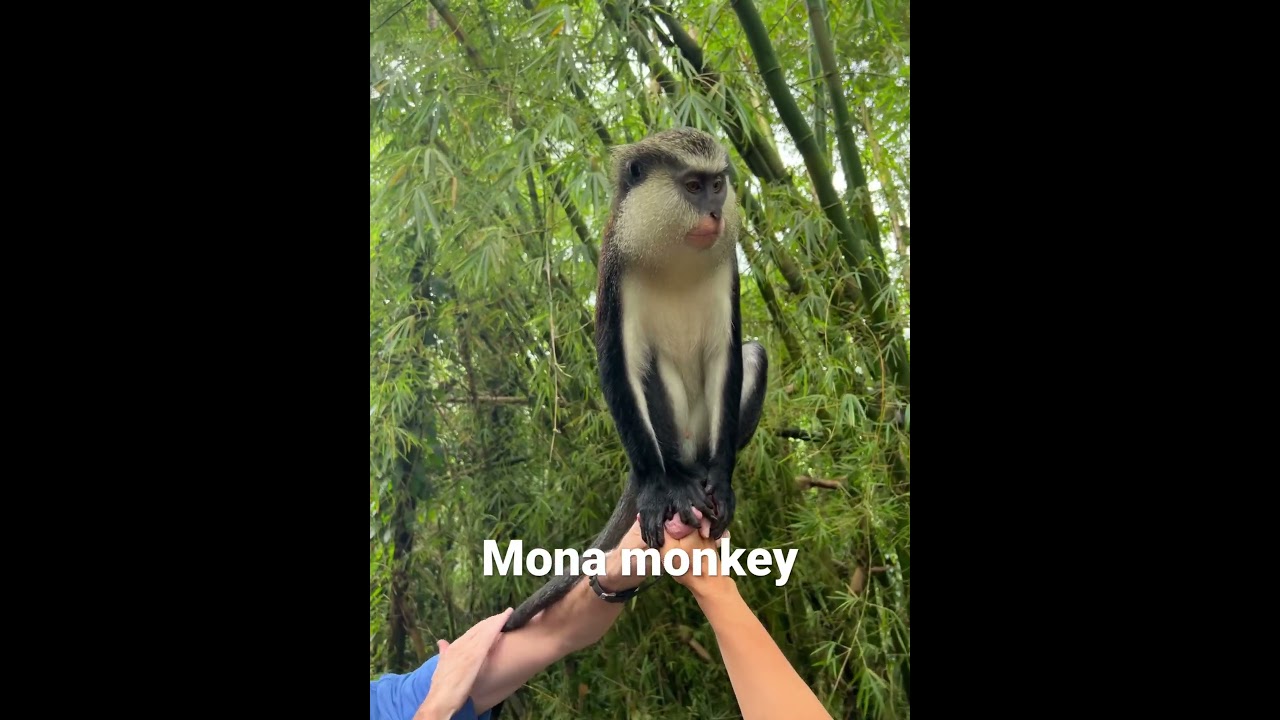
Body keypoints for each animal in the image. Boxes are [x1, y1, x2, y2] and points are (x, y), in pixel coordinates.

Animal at [501, 127, 768, 633]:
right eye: (692, 187)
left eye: (717, 185)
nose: (715, 213)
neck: (677, 254)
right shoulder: (614, 268)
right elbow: (618, 365)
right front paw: (657, 491)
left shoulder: (727, 269)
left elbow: (729, 355)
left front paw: (722, 481)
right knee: (648, 378)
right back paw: (675, 482)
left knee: (754, 354)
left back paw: (702, 474)